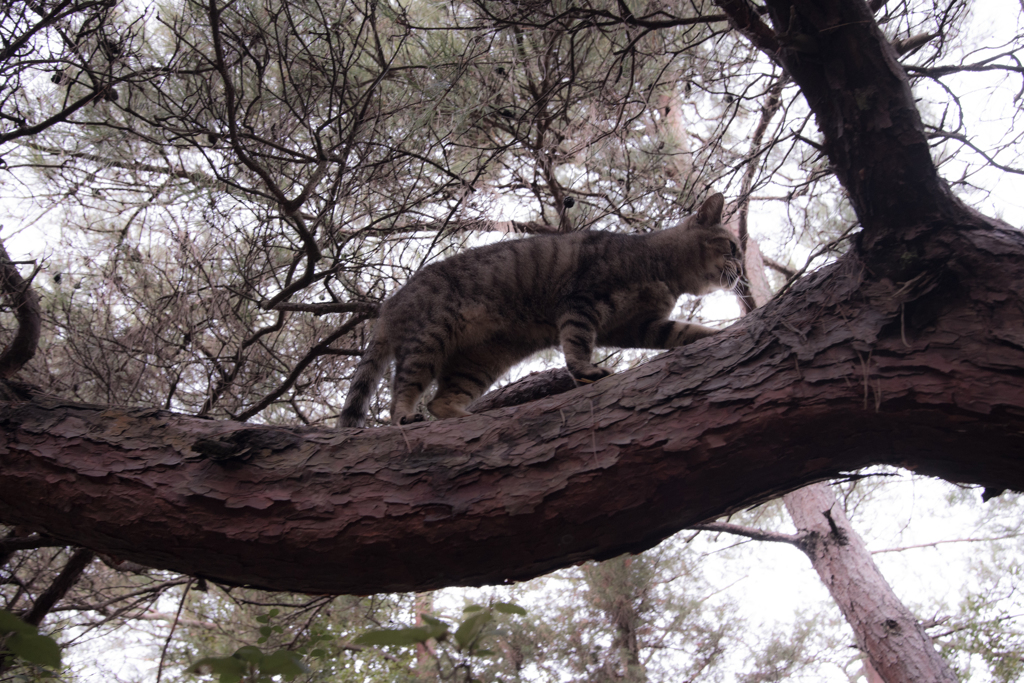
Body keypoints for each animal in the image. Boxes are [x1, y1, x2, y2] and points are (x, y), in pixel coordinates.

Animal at [339, 192, 741, 428]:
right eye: (734, 246)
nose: (740, 270)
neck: (663, 269)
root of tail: (389, 304)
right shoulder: (582, 302)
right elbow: (577, 345)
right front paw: (585, 370)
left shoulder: (638, 326)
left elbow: (685, 331)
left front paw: (722, 333)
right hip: (430, 338)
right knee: (402, 390)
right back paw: (407, 414)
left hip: (479, 361)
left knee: (441, 401)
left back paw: (468, 416)